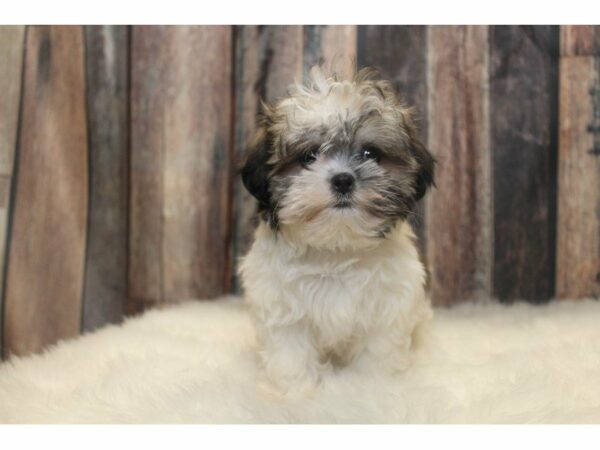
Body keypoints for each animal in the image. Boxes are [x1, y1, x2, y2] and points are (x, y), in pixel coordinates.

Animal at [239, 65, 436, 392]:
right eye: (308, 157)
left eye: (370, 154)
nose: (343, 179)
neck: (336, 248)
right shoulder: (283, 309)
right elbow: (290, 356)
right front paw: (295, 393)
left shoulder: (387, 310)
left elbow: (377, 355)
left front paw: (374, 388)